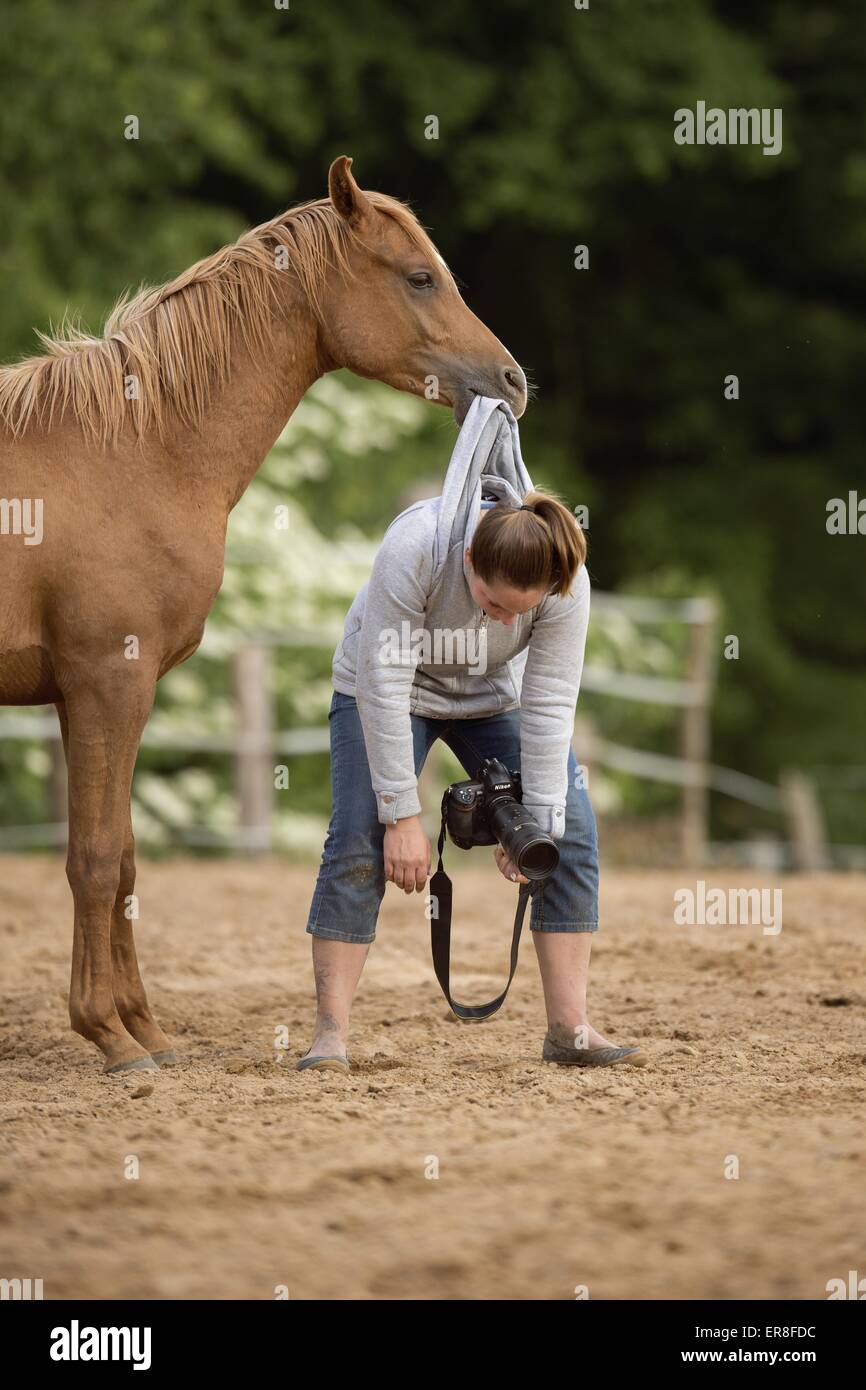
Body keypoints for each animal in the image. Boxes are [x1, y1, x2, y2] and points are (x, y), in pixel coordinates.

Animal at [0, 154, 528, 1073]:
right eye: (420, 276)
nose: (512, 381)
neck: (133, 450)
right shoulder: (107, 684)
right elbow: (95, 860)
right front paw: (109, 1035)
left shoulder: (94, 696)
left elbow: (125, 859)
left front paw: (144, 1025)